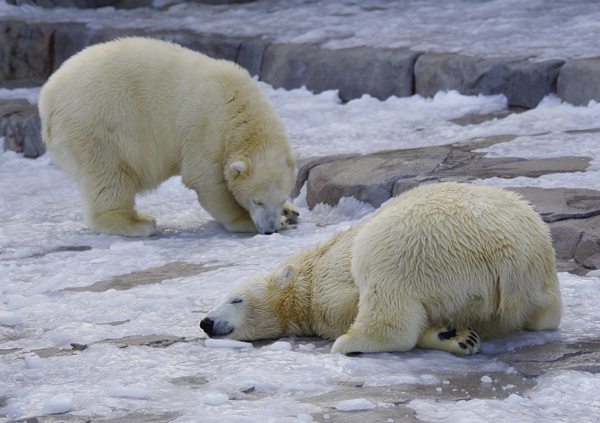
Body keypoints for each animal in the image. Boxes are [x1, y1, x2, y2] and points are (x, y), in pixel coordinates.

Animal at [202, 184, 564, 356]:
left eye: (235, 299)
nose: (206, 321)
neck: (309, 272)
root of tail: (513, 256)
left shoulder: (328, 286)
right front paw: (454, 334)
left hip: (422, 239)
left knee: (383, 275)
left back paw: (350, 342)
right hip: (539, 284)